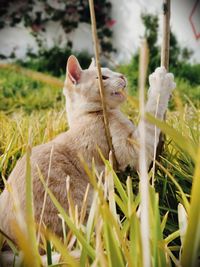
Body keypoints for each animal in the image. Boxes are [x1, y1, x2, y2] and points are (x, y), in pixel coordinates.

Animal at [0, 55, 175, 244]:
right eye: (103, 77)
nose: (122, 76)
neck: (90, 115)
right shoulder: (134, 151)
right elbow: (152, 113)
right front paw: (161, 81)